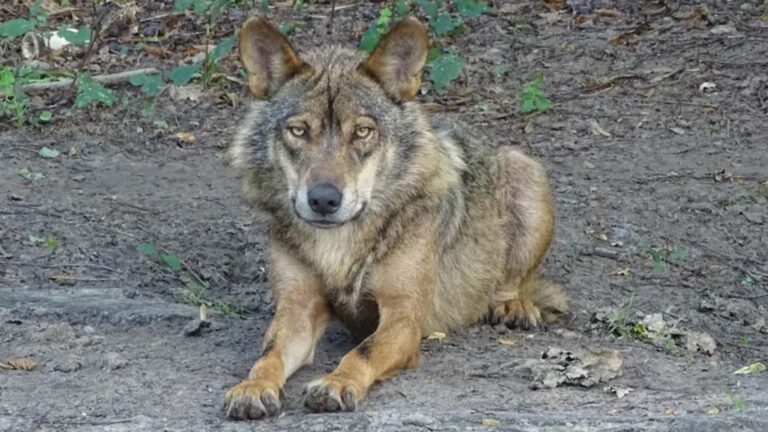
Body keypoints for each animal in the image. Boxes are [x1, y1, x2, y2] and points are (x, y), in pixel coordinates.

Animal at [223, 16, 568, 419]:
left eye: (362, 132)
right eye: (298, 130)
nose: (323, 199)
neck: (339, 245)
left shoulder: (403, 318)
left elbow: (362, 352)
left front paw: (336, 383)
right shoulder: (297, 308)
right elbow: (269, 354)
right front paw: (253, 387)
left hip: (528, 175)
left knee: (515, 282)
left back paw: (512, 305)